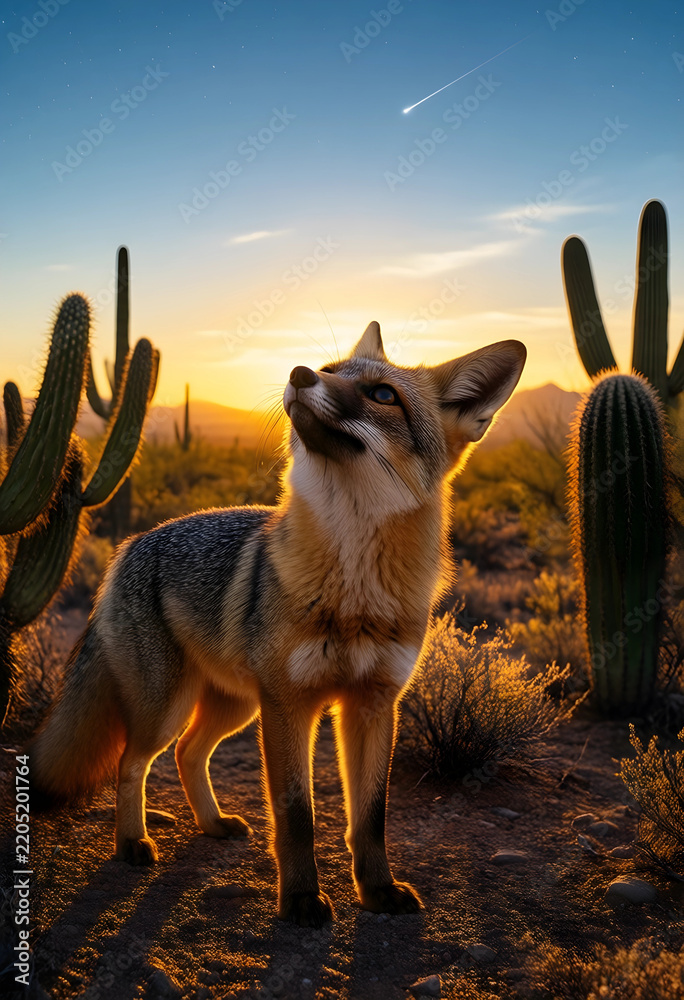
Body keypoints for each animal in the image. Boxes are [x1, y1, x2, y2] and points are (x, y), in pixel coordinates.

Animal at [29, 322, 525, 927]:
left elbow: (371, 817)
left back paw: (212, 824)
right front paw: (301, 900)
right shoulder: (290, 703)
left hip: (234, 706)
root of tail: (131, 543)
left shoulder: (373, 703)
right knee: (132, 762)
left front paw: (378, 891)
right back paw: (131, 843)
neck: (353, 592)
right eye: (330, 369)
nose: (299, 372)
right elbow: (295, 814)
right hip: (172, 706)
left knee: (188, 753)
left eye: (384, 395)